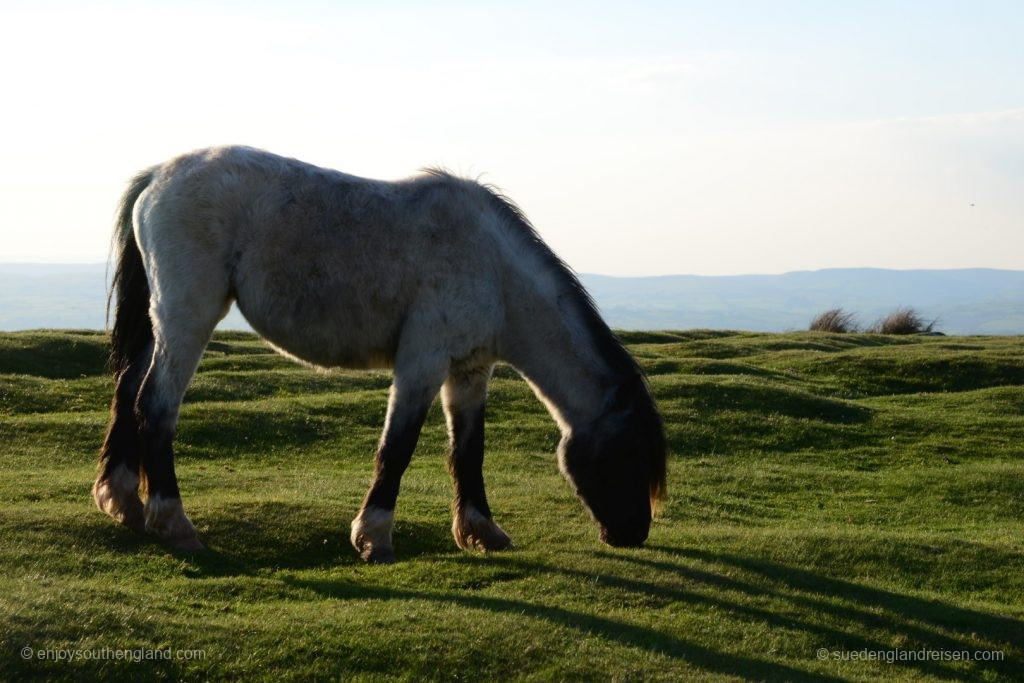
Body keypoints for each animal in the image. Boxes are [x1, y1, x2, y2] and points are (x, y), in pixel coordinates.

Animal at [92, 147, 667, 565]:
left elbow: (468, 451)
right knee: (155, 406)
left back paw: (123, 501)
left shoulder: (469, 371)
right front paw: (374, 539)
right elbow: (399, 448)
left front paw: (481, 531)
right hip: (188, 318)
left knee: (128, 390)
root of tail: (157, 176)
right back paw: (174, 523)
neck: (493, 267)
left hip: (159, 323)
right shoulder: (422, 363)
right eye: (630, 453)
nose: (633, 533)